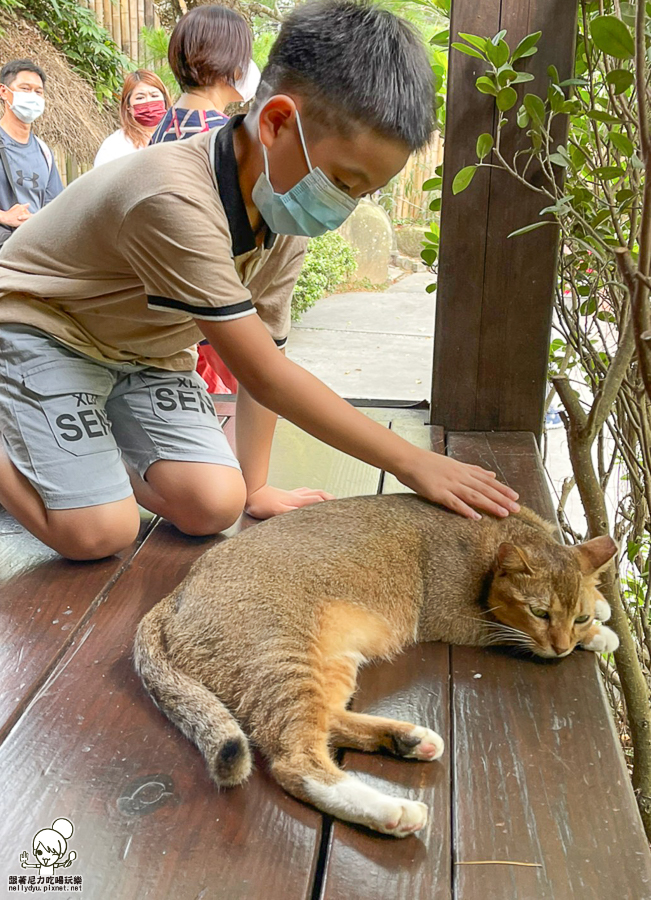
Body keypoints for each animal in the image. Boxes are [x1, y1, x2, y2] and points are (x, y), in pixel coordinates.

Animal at [135, 492, 620, 836]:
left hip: (328, 660)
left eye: (575, 616)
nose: (562, 647)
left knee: (327, 716)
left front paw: (599, 610)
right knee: (296, 760)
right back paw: (393, 809)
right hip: (282, 655)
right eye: (540, 613)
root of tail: (175, 595)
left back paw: (408, 739)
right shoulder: (459, 618)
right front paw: (600, 634)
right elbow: (514, 636)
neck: (501, 532)